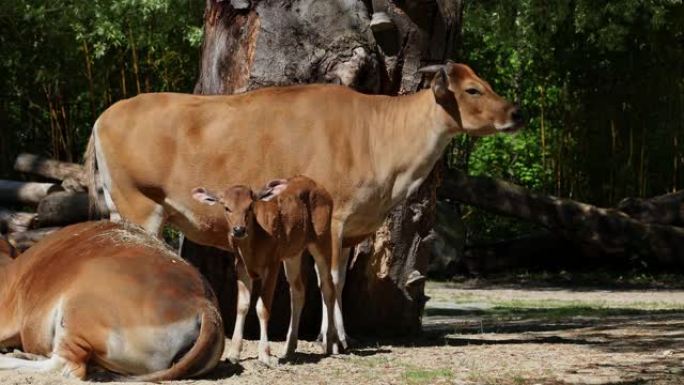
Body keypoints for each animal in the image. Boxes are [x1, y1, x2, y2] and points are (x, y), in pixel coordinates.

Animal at [85, 62, 524, 348]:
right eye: (473, 89)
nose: (516, 112)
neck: (375, 135)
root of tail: (105, 115)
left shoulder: (344, 230)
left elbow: (334, 280)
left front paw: (336, 334)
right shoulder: (334, 220)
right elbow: (328, 278)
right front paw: (332, 339)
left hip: (118, 208)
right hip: (141, 207)